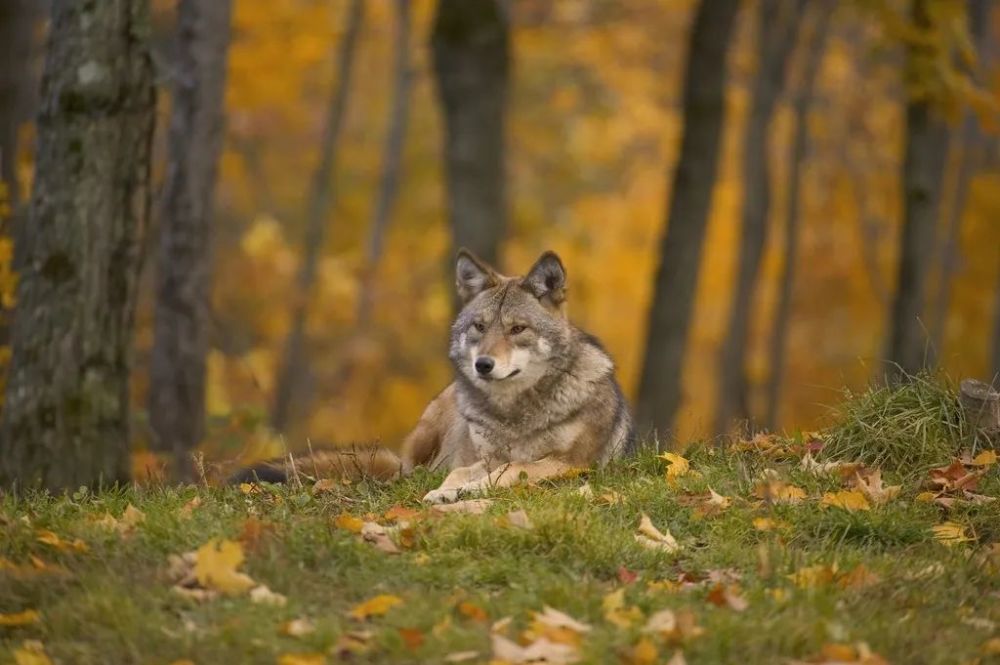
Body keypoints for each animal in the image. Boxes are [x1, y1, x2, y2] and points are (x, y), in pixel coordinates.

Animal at [234, 249, 632, 504]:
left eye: (518, 329)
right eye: (480, 327)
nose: (483, 365)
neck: (513, 415)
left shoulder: (570, 465)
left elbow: (512, 469)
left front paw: (467, 491)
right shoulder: (484, 458)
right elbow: (462, 473)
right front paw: (447, 490)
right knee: (406, 472)